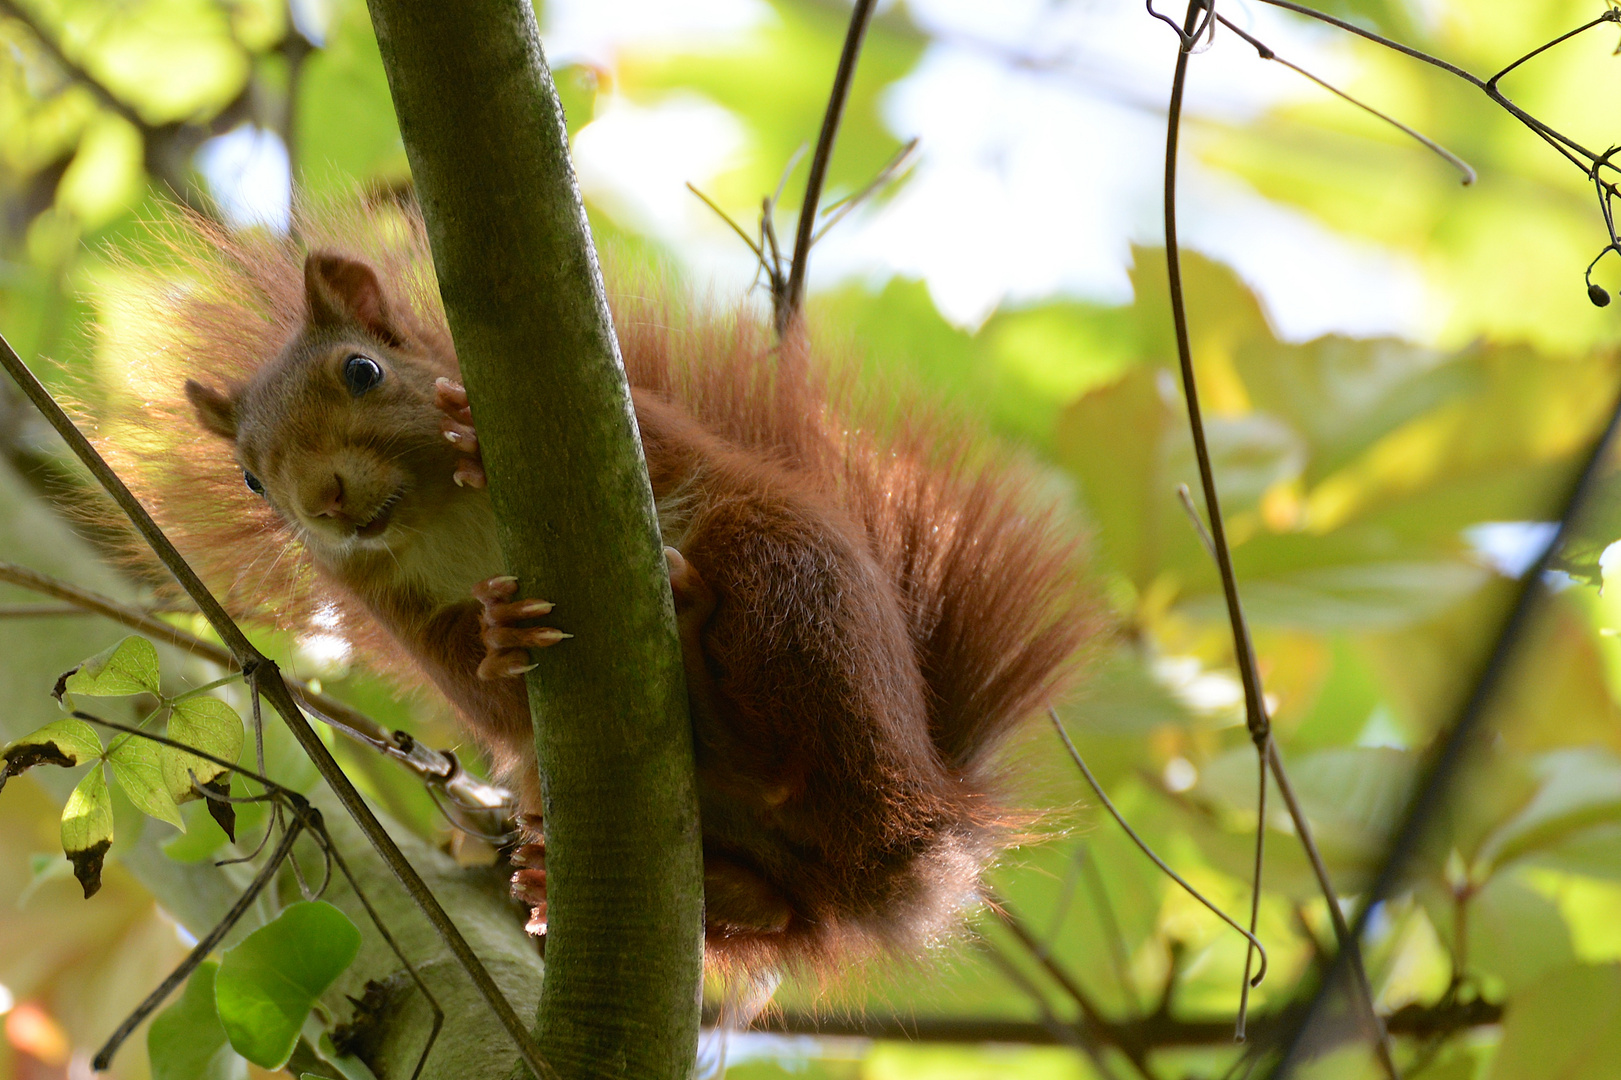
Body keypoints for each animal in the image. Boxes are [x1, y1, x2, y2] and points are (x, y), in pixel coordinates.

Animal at [98, 197, 1102, 972]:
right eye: (251, 479)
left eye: (362, 370)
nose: (325, 502)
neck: (435, 516)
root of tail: (914, 834)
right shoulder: (395, 609)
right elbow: (485, 699)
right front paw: (499, 639)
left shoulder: (633, 429)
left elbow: (641, 468)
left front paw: (470, 433)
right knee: (782, 907)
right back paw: (623, 879)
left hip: (796, 589)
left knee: (789, 746)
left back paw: (703, 657)